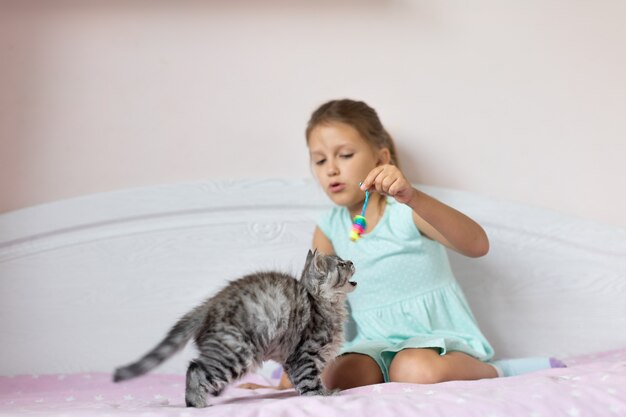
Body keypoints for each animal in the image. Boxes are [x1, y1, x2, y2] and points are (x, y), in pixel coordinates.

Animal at [114, 250, 354, 406]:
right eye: (341, 265)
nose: (351, 261)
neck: (322, 303)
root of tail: (208, 305)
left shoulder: (297, 360)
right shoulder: (304, 354)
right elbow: (310, 381)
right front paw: (324, 396)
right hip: (237, 352)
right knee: (195, 369)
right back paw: (196, 403)